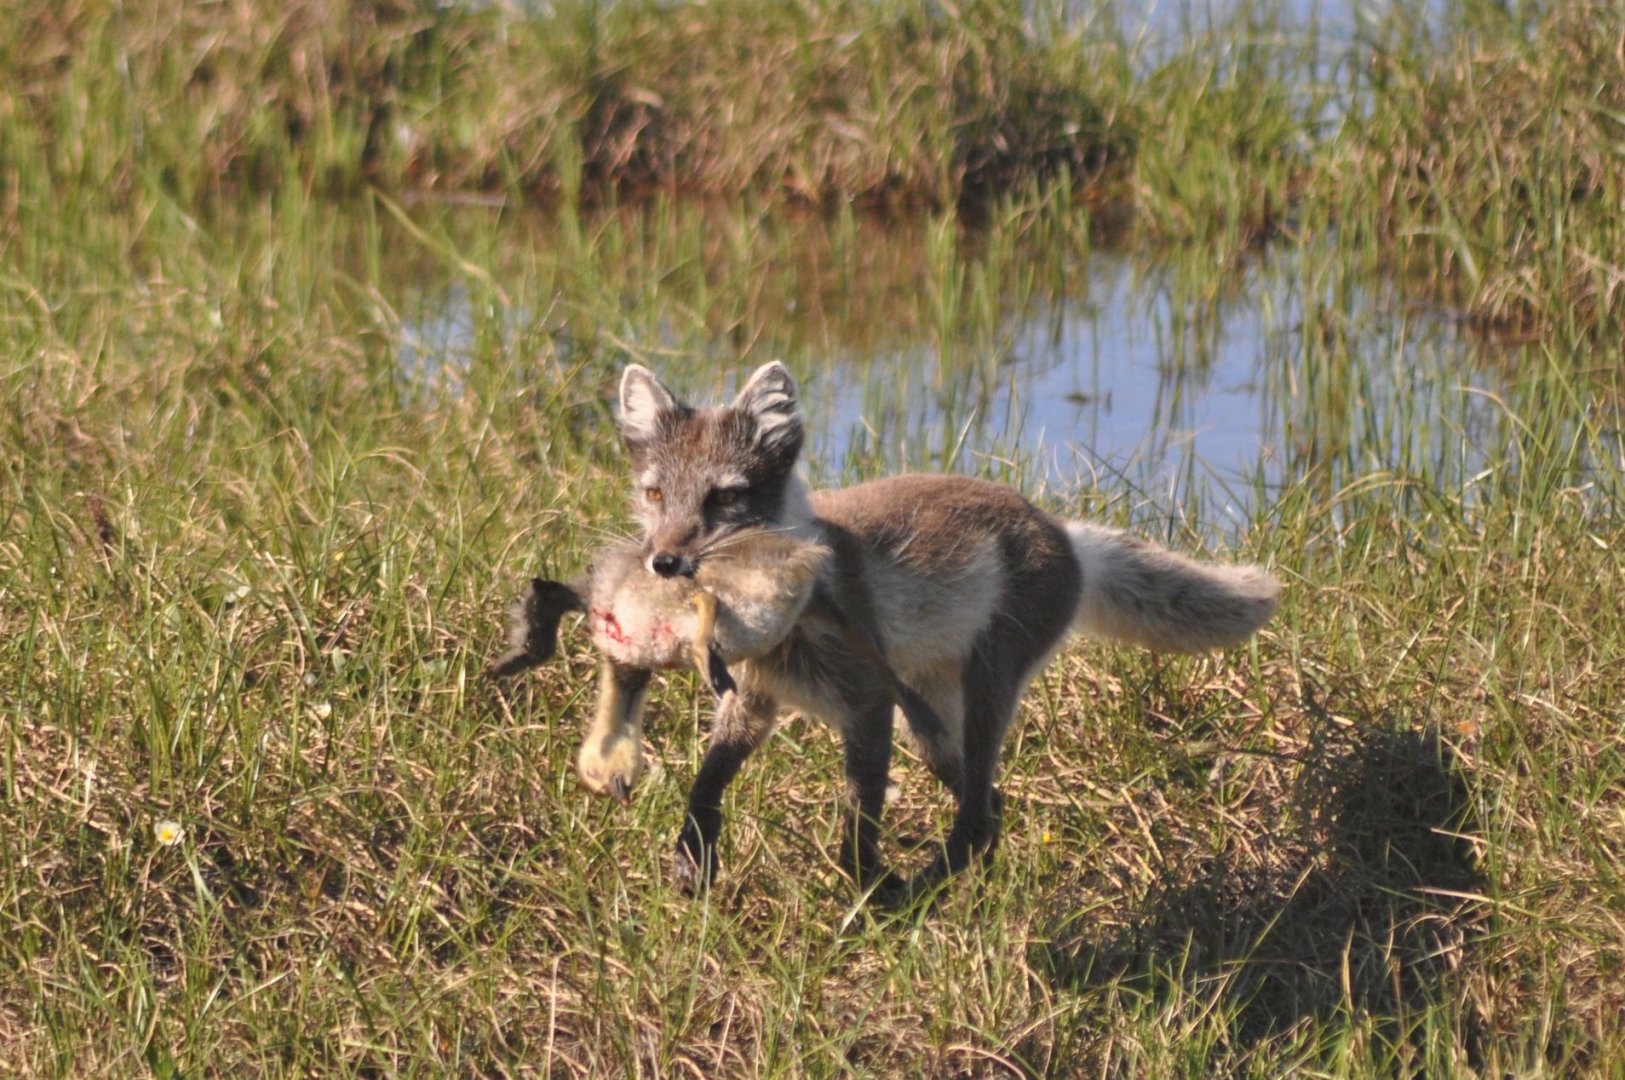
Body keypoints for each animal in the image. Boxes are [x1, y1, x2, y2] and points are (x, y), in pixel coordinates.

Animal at [611, 360, 1281, 900]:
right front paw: (693, 856)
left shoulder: (869, 705)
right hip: (929, 725)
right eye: (655, 493)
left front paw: (868, 892)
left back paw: (916, 897)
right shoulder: (753, 701)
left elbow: (858, 827)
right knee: (991, 806)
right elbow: (706, 782)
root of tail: (1066, 534)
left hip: (982, 692)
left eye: (725, 498)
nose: (663, 561)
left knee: (977, 817)